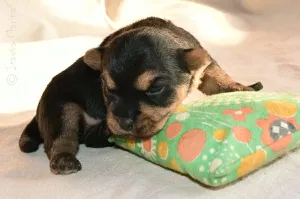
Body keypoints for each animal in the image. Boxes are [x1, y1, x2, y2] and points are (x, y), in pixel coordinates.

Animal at [18, 17, 262, 176]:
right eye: (108, 89)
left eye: (155, 89)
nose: (123, 123)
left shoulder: (206, 64)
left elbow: (219, 77)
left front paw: (240, 88)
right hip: (60, 108)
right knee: (62, 138)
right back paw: (65, 160)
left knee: (88, 138)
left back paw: (102, 133)